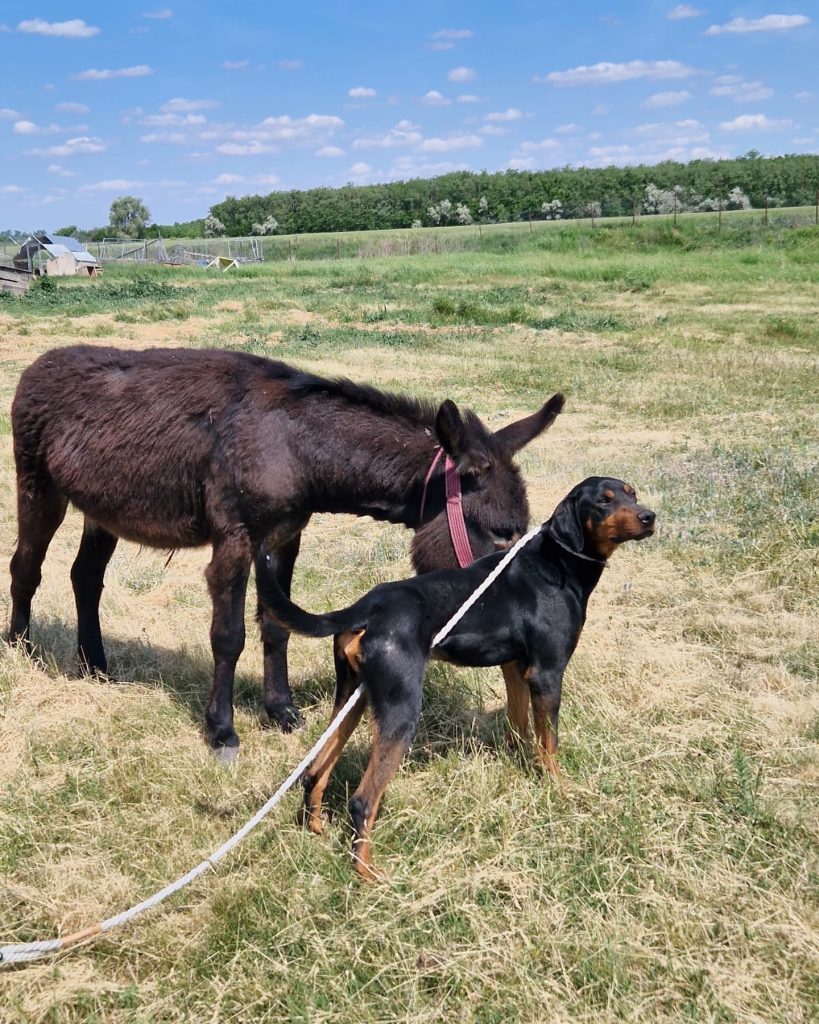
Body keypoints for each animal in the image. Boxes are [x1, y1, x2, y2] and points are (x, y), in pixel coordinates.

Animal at [259, 475, 655, 876]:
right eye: (603, 502)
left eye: (631, 493)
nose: (649, 517)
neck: (556, 561)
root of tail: (368, 606)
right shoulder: (547, 673)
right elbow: (550, 745)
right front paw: (557, 787)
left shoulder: (515, 668)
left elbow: (520, 726)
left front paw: (521, 765)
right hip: (401, 709)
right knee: (362, 799)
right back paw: (368, 874)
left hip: (353, 698)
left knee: (314, 771)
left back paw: (316, 827)